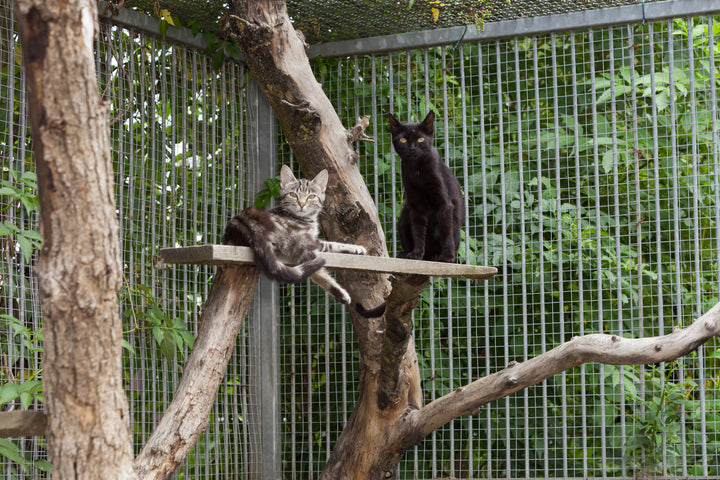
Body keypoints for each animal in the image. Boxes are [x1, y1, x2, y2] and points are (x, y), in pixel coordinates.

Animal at [221, 165, 366, 306]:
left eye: (311, 197)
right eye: (293, 194)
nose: (301, 204)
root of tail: (243, 222)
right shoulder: (312, 239)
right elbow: (333, 244)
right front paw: (356, 248)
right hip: (299, 238)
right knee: (315, 269)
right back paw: (341, 294)